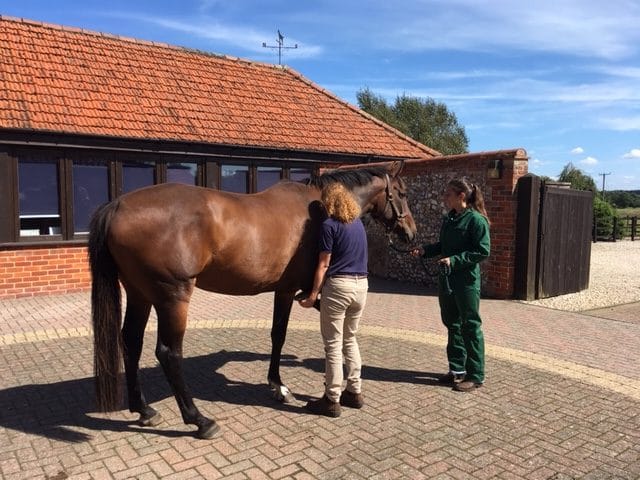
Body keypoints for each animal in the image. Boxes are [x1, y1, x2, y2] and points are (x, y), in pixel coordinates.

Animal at [90, 162, 418, 438]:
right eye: (402, 193)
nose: (411, 234)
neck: (319, 210)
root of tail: (117, 205)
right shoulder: (294, 291)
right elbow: (282, 335)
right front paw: (284, 386)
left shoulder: (289, 291)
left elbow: (283, 336)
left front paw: (282, 385)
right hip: (172, 297)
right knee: (168, 353)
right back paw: (199, 420)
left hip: (139, 293)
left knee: (131, 343)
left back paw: (144, 410)